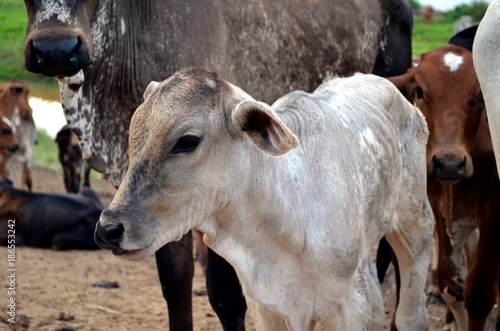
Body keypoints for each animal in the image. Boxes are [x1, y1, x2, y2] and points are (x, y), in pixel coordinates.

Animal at [94, 68, 434, 330]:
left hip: (415, 224)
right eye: (134, 136)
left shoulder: (349, 306)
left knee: (411, 315)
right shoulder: (264, 305)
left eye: (187, 141)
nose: (108, 229)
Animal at [388, 44, 498, 331]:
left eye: (480, 96)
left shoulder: (494, 210)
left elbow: (479, 293)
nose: (449, 164)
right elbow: (450, 284)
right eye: (419, 91)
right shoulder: (439, 206)